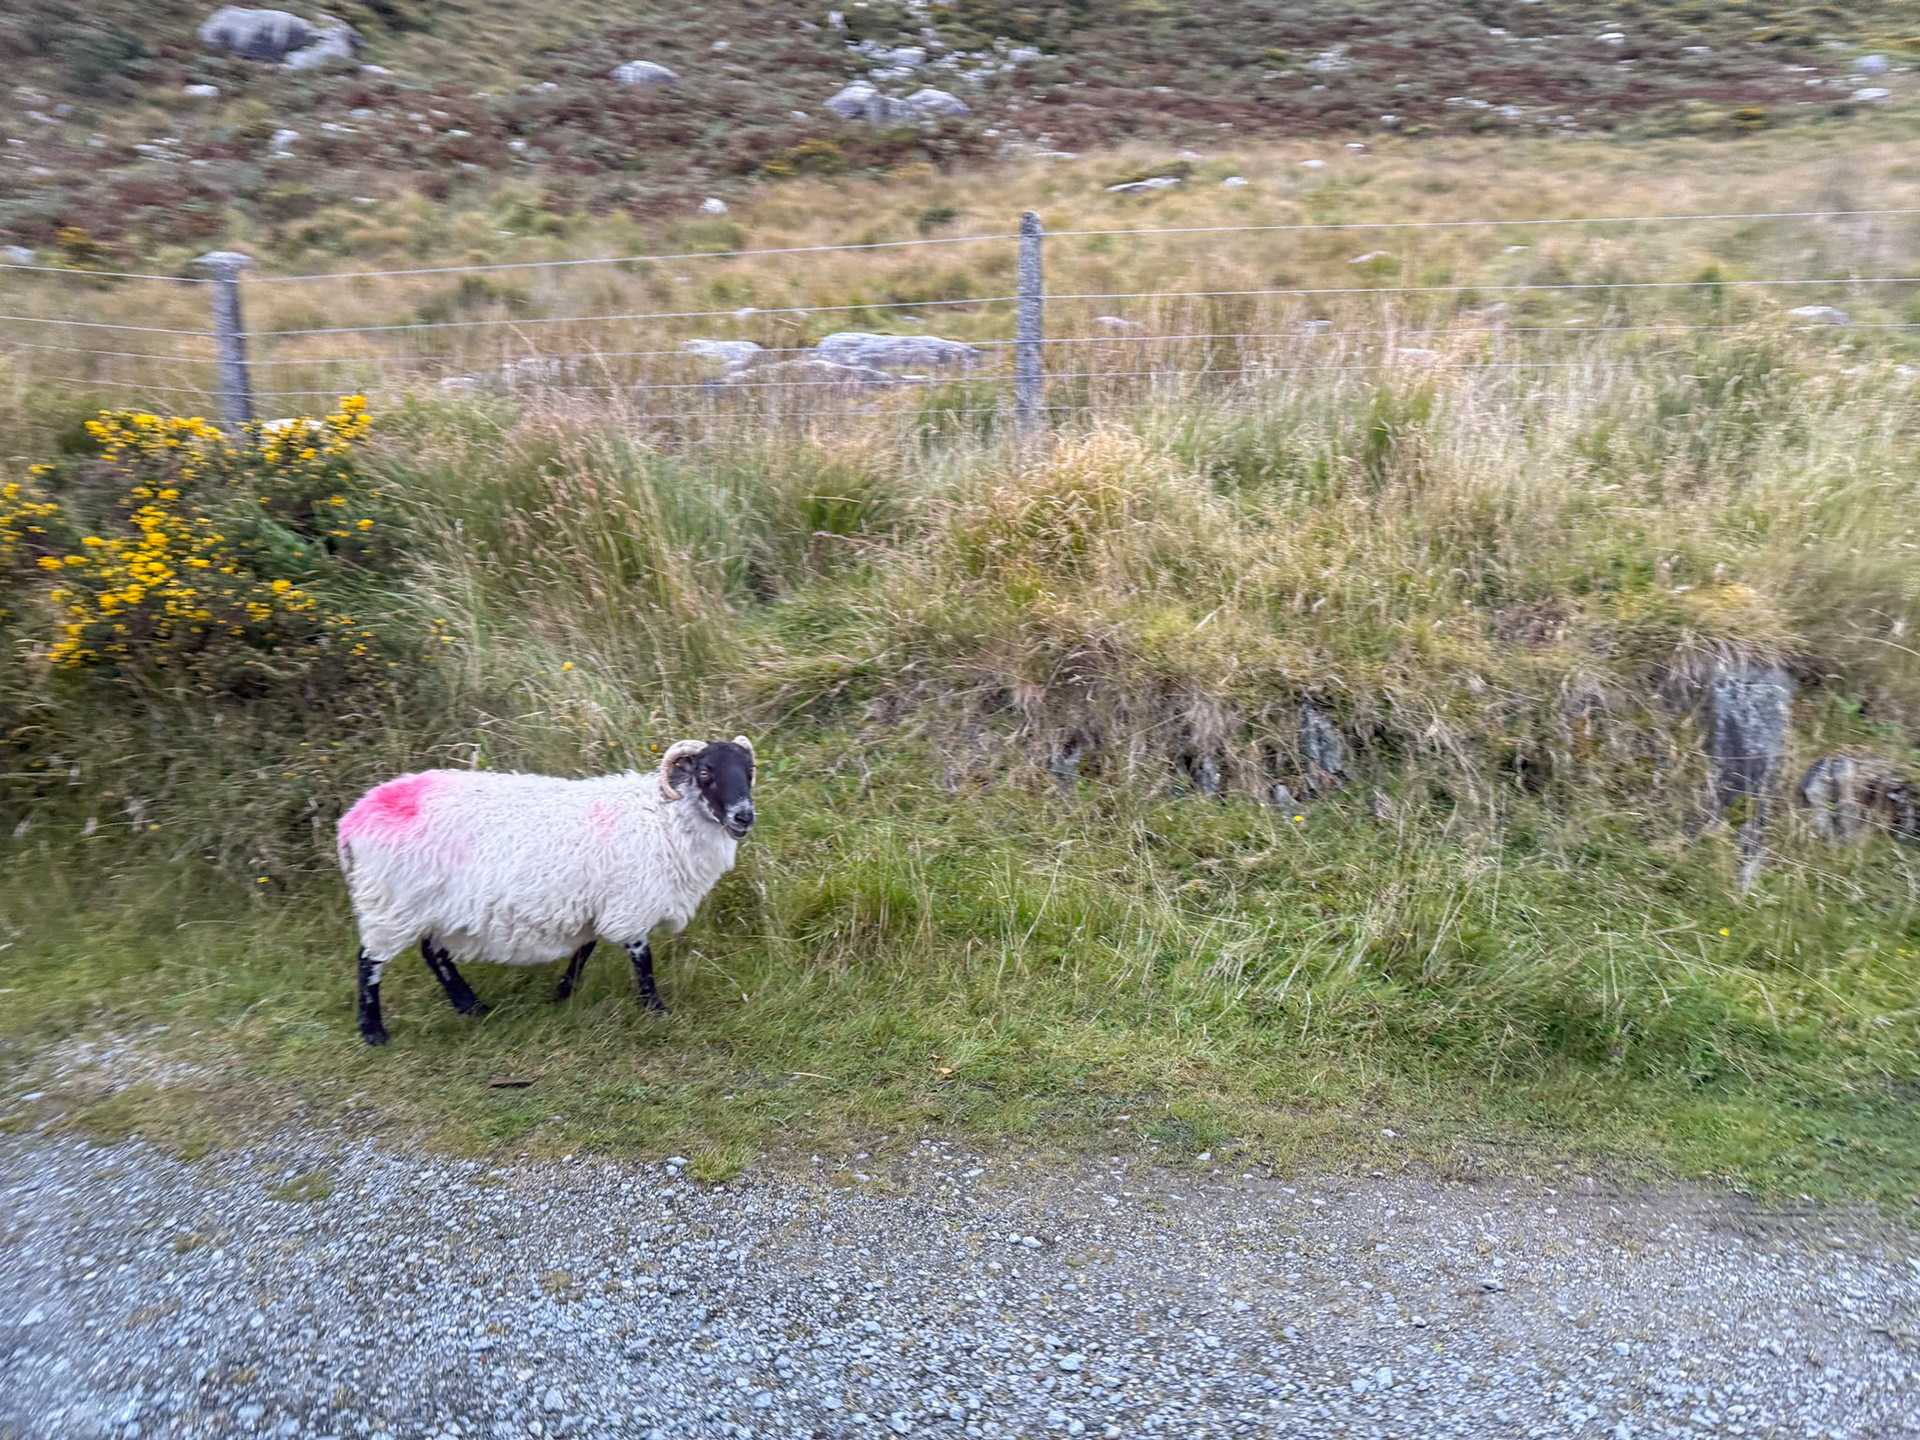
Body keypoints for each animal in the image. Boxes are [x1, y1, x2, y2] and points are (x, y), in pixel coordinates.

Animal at [338, 737, 756, 1045]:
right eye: (705, 771)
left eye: (749, 771)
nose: (744, 816)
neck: (664, 819)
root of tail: (353, 819)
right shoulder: (630, 904)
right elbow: (642, 959)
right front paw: (654, 1007)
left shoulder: (598, 901)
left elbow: (586, 947)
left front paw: (563, 991)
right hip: (391, 901)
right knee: (369, 961)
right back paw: (373, 1032)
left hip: (433, 904)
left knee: (432, 952)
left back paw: (471, 1006)